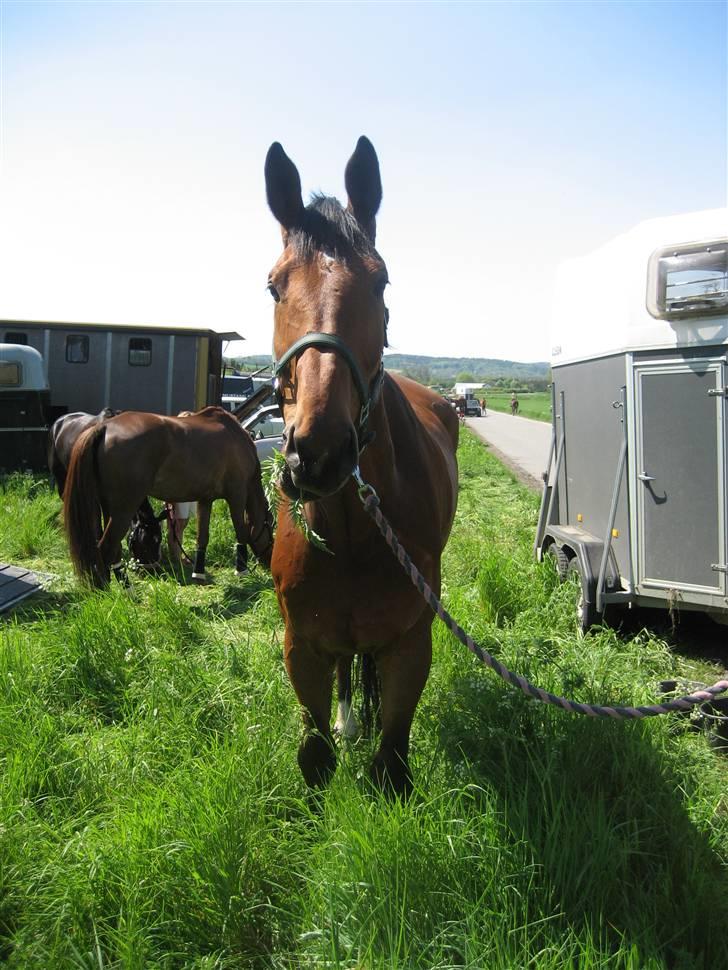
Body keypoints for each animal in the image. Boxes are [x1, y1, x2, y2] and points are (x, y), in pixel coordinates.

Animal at [61, 406, 272, 588]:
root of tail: (104, 427)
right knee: (106, 548)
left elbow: (202, 537)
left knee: (112, 551)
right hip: (123, 511)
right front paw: (242, 572)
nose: (269, 563)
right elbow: (241, 531)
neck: (236, 437)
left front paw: (199, 574)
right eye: (271, 530)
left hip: (109, 508)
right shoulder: (237, 494)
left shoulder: (205, 499)